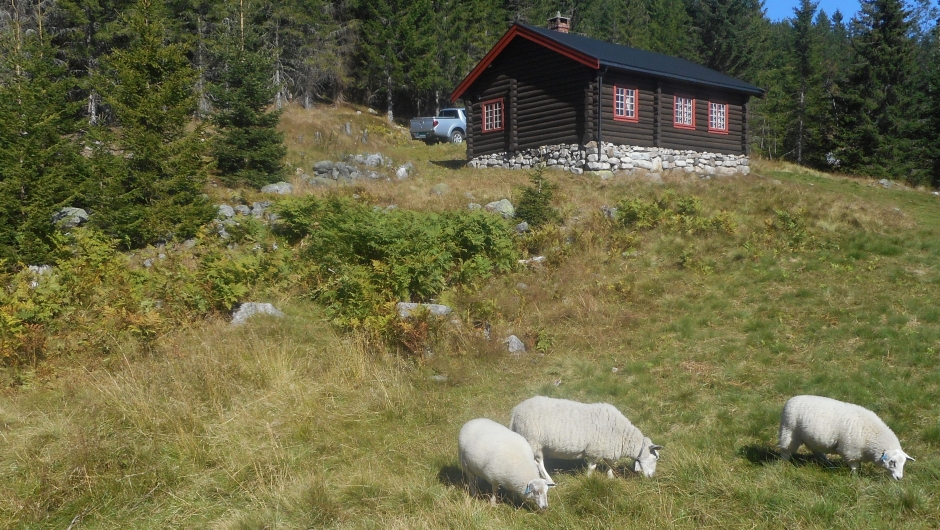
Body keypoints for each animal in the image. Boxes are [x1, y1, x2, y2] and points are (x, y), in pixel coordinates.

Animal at [506, 394, 660, 480]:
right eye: (654, 459)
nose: (652, 477)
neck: (622, 435)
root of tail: (515, 411)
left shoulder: (608, 450)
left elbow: (610, 464)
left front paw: (610, 477)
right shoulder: (595, 450)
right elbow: (592, 467)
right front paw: (588, 479)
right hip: (533, 439)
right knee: (538, 463)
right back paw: (550, 480)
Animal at [780, 392, 916, 478]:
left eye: (904, 463)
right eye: (892, 462)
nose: (899, 478)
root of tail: (791, 399)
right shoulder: (850, 451)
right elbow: (855, 467)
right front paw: (856, 478)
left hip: (809, 438)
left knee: (817, 452)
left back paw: (829, 464)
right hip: (789, 431)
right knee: (786, 451)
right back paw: (783, 465)